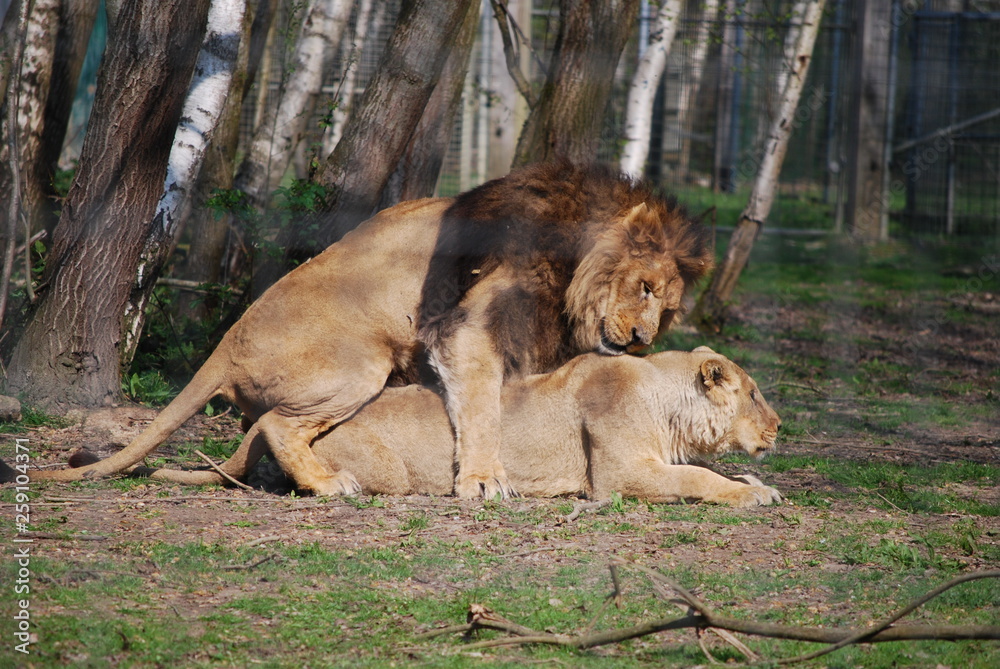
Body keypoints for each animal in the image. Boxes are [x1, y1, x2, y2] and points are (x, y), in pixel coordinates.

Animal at [16, 162, 712, 498]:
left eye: (667, 310)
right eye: (645, 287)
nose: (643, 339)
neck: (570, 260)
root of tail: (224, 348)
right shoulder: (470, 326)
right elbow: (483, 404)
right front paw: (483, 478)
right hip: (360, 366)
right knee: (278, 425)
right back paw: (328, 484)